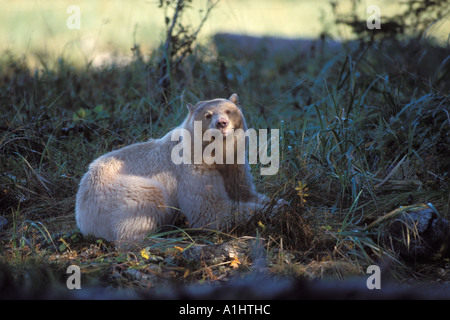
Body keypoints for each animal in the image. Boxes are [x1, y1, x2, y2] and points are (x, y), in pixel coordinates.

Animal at [74, 94, 278, 242]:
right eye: (208, 115)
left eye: (229, 111)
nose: (222, 123)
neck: (215, 155)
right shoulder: (194, 169)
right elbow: (210, 210)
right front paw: (270, 211)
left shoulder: (235, 166)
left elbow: (245, 192)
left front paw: (275, 202)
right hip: (117, 192)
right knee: (142, 206)